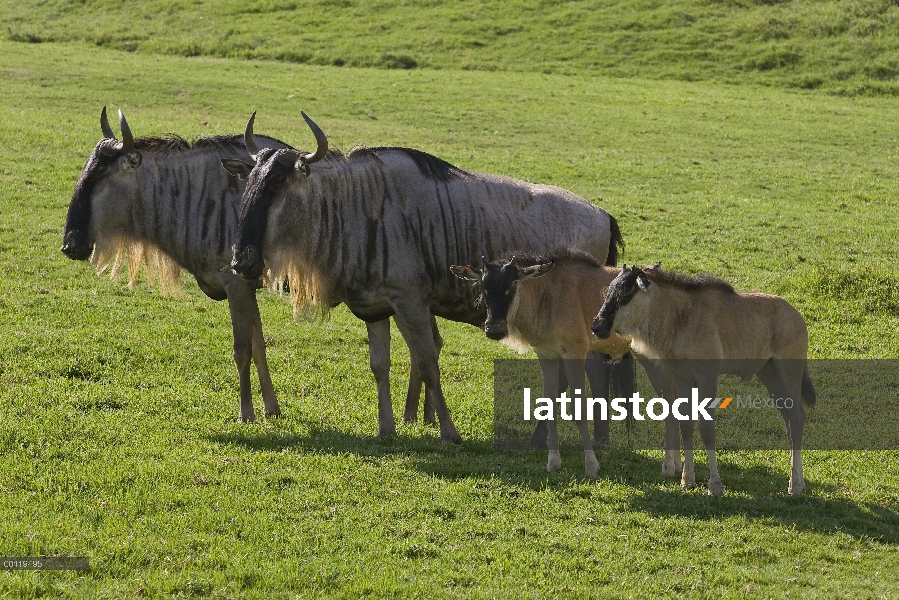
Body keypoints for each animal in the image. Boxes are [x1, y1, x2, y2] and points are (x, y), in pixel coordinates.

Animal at [450, 248, 632, 478]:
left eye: (513, 284)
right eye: (483, 285)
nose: (494, 329)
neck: (548, 296)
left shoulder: (575, 353)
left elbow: (579, 410)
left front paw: (591, 466)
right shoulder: (547, 355)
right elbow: (549, 407)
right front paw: (553, 462)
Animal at [592, 264, 816, 494]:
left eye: (625, 293)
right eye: (609, 292)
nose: (597, 326)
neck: (682, 317)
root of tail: (796, 316)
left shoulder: (708, 377)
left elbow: (707, 429)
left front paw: (715, 485)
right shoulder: (683, 378)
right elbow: (686, 425)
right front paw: (687, 479)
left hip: (788, 371)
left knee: (797, 417)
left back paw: (795, 485)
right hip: (769, 374)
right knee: (789, 419)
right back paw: (796, 482)